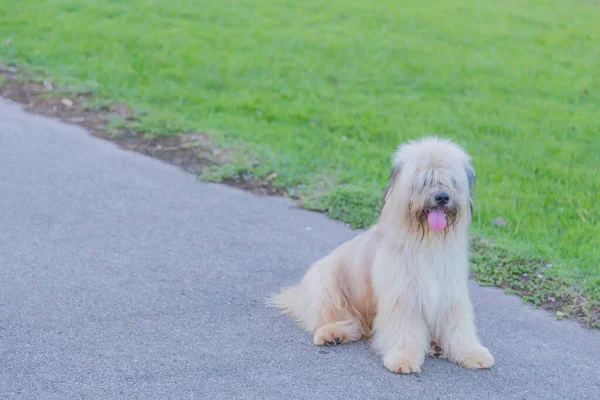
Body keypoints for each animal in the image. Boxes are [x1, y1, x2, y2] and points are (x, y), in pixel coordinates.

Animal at [270, 136, 494, 374]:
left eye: (451, 180)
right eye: (424, 180)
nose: (442, 197)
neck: (426, 242)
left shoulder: (451, 293)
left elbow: (459, 327)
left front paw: (472, 354)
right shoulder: (402, 294)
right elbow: (404, 329)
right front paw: (403, 358)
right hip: (326, 284)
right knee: (349, 321)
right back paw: (331, 334)